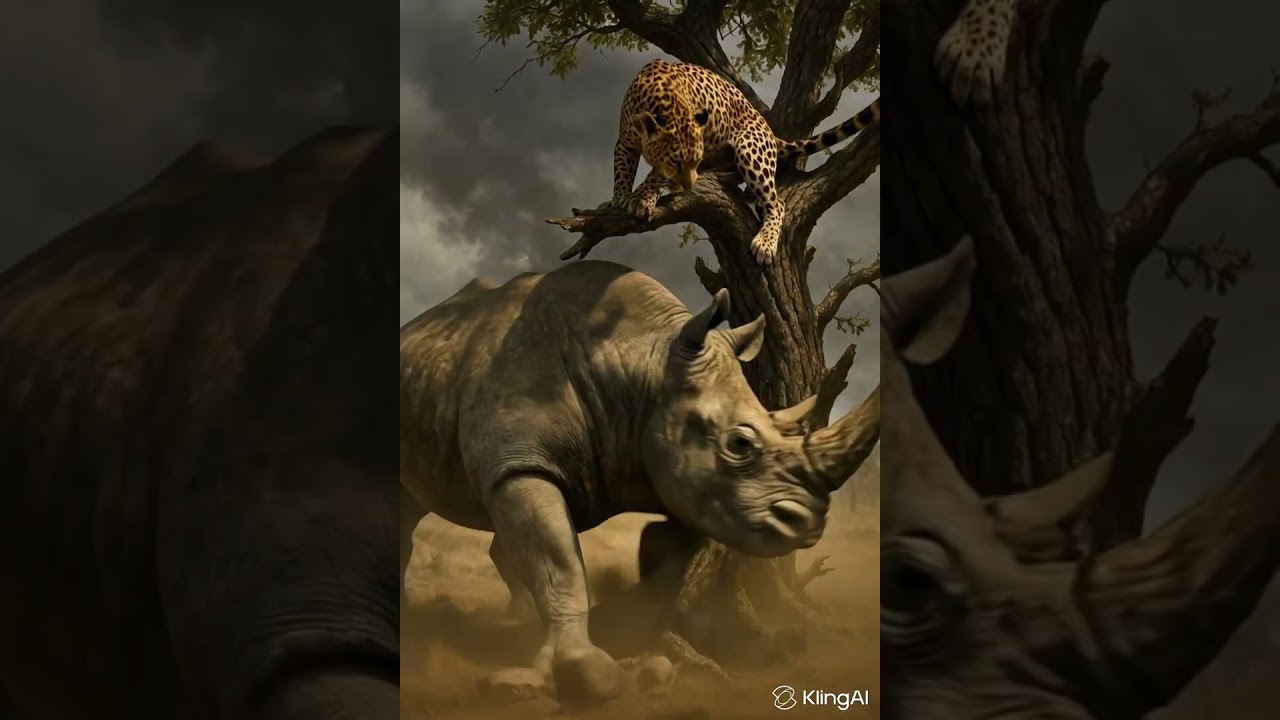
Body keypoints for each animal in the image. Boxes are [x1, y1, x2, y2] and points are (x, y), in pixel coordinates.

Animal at [399, 261, 880, 701]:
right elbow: (559, 562)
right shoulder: (520, 463)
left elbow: (668, 560)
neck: (642, 363)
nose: (808, 522)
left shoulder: (682, 483)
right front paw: (586, 670)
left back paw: (516, 618)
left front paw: (631, 632)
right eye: (740, 444)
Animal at [611, 58, 880, 265]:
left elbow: (653, 175)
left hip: (749, 149)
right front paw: (621, 196)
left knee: (777, 202)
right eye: (677, 163)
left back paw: (764, 243)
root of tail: (770, 132)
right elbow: (622, 170)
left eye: (693, 160)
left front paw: (641, 198)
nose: (687, 186)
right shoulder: (624, 142)